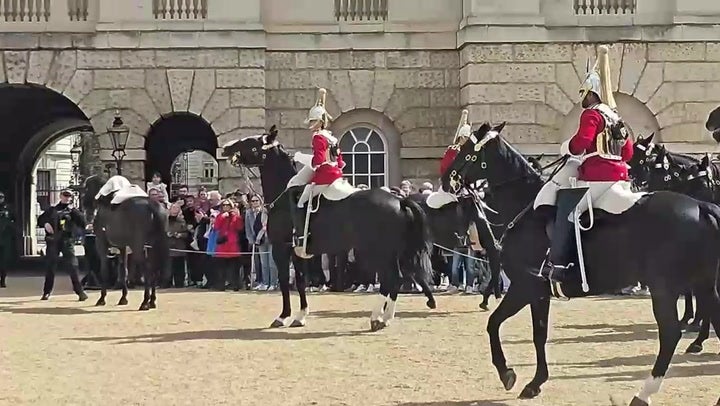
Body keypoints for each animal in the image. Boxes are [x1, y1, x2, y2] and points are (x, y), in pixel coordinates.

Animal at [82, 174, 169, 310]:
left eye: (86, 188)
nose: (85, 208)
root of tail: (152, 205)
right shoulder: (122, 247)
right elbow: (124, 271)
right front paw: (123, 298)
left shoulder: (101, 243)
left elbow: (104, 270)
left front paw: (102, 298)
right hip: (153, 246)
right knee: (154, 269)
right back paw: (152, 301)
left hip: (138, 247)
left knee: (147, 270)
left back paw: (145, 302)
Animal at [225, 125, 436, 332]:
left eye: (251, 143)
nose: (226, 147)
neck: (284, 197)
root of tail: (400, 201)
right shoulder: (297, 251)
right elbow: (300, 280)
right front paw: (300, 316)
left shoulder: (280, 248)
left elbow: (285, 280)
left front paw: (283, 316)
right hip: (392, 252)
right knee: (397, 279)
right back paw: (386, 318)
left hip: (378, 252)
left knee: (391, 278)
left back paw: (377, 318)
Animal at [444, 123, 720, 406]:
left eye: (466, 151)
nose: (445, 179)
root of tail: (702, 207)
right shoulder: (540, 292)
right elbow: (538, 334)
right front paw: (536, 382)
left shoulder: (525, 285)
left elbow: (495, 324)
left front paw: (507, 373)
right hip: (703, 284)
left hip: (664, 289)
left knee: (670, 334)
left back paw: (644, 393)